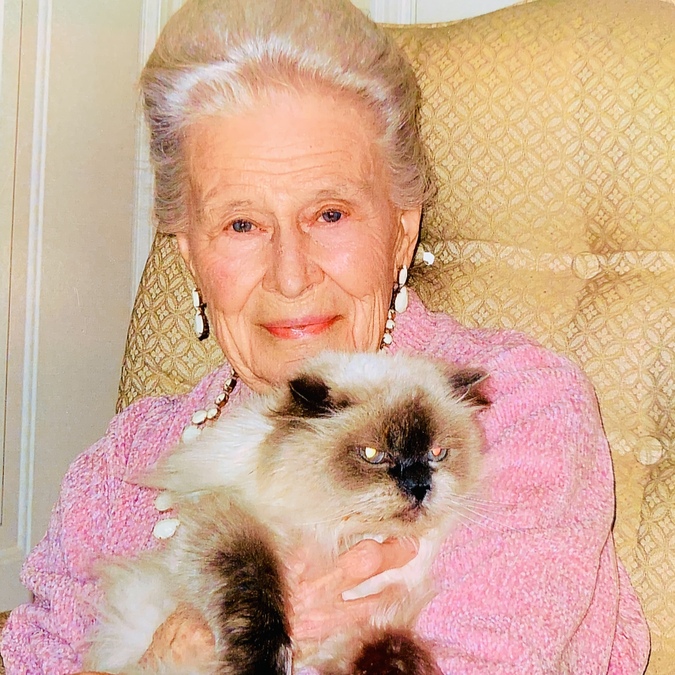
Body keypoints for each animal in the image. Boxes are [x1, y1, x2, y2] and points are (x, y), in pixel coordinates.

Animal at [84, 351, 489, 675]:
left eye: (437, 453)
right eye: (373, 455)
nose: (419, 488)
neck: (338, 532)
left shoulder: (354, 631)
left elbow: (390, 647)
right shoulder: (232, 527)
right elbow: (257, 601)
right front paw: (262, 663)